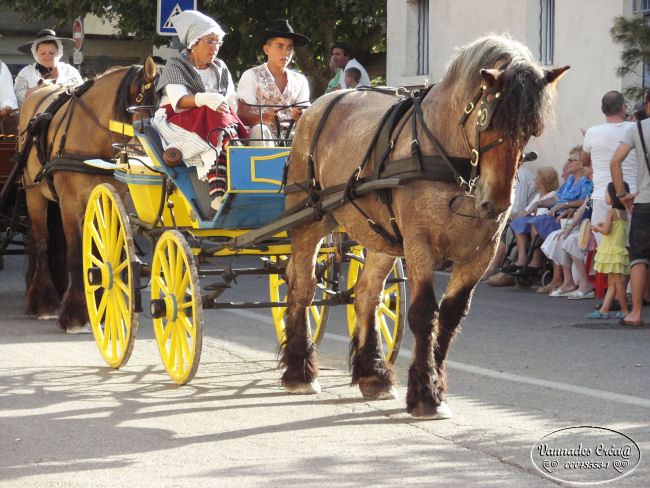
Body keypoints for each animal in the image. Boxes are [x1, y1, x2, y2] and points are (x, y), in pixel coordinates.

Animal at [18, 56, 158, 332]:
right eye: (138, 102)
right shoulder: (70, 202)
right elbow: (75, 254)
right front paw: (75, 313)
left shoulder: (106, 198)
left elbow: (98, 249)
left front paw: (100, 304)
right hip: (34, 194)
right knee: (41, 241)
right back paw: (43, 300)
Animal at [278, 34, 568, 418]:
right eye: (488, 120)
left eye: (532, 130)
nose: (495, 203)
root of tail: (315, 107)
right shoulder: (419, 244)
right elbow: (424, 314)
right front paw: (425, 394)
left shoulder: (481, 252)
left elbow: (450, 316)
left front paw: (433, 387)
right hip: (309, 221)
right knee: (303, 286)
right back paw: (300, 371)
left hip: (381, 237)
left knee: (367, 294)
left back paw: (373, 373)